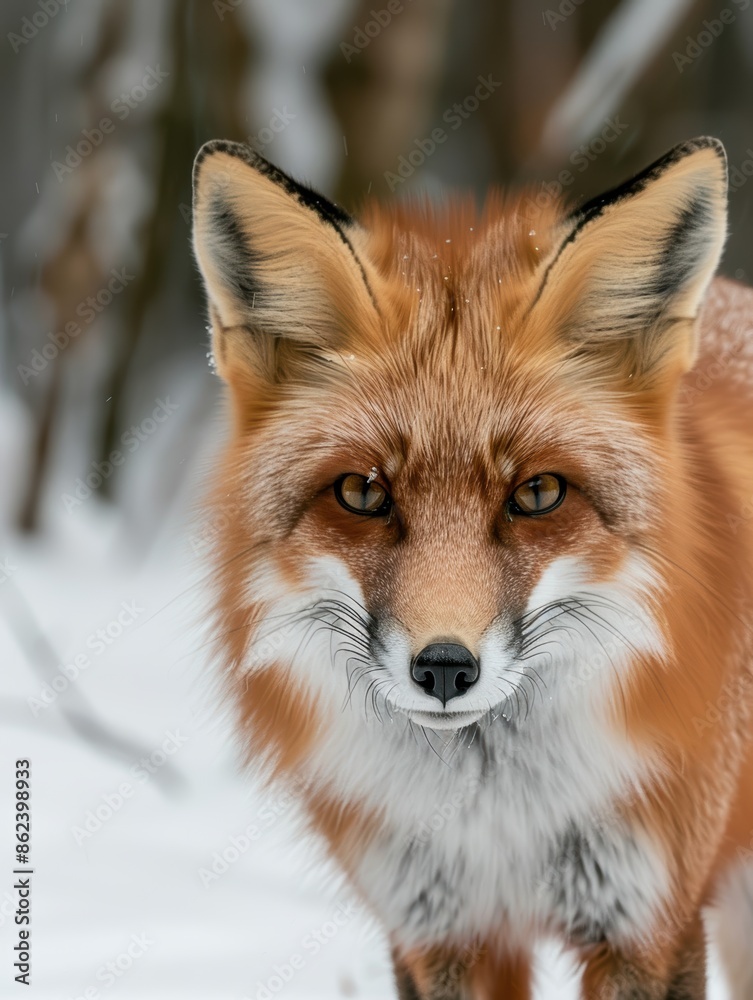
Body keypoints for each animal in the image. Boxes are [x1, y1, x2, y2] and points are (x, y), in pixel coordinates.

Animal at [192, 135, 753, 999]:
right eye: (362, 492)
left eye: (538, 493)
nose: (445, 668)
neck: (496, 822)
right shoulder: (437, 929)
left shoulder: (646, 923)